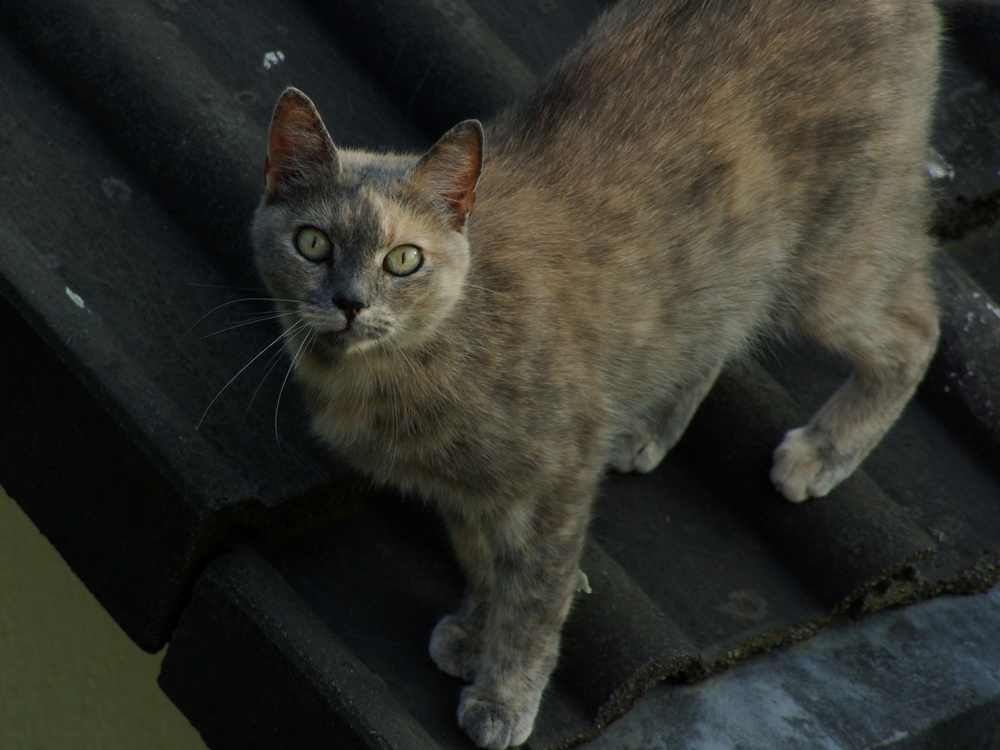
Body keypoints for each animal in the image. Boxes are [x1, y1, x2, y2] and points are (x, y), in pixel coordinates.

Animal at [254, 1, 940, 748]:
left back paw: (824, 451)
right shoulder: (471, 492)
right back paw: (649, 423)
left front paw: (504, 696)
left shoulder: (557, 474)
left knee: (916, 327)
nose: (350, 302)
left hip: (831, 258)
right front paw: (472, 633)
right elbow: (484, 561)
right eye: (313, 243)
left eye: (404, 260)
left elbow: (535, 597)